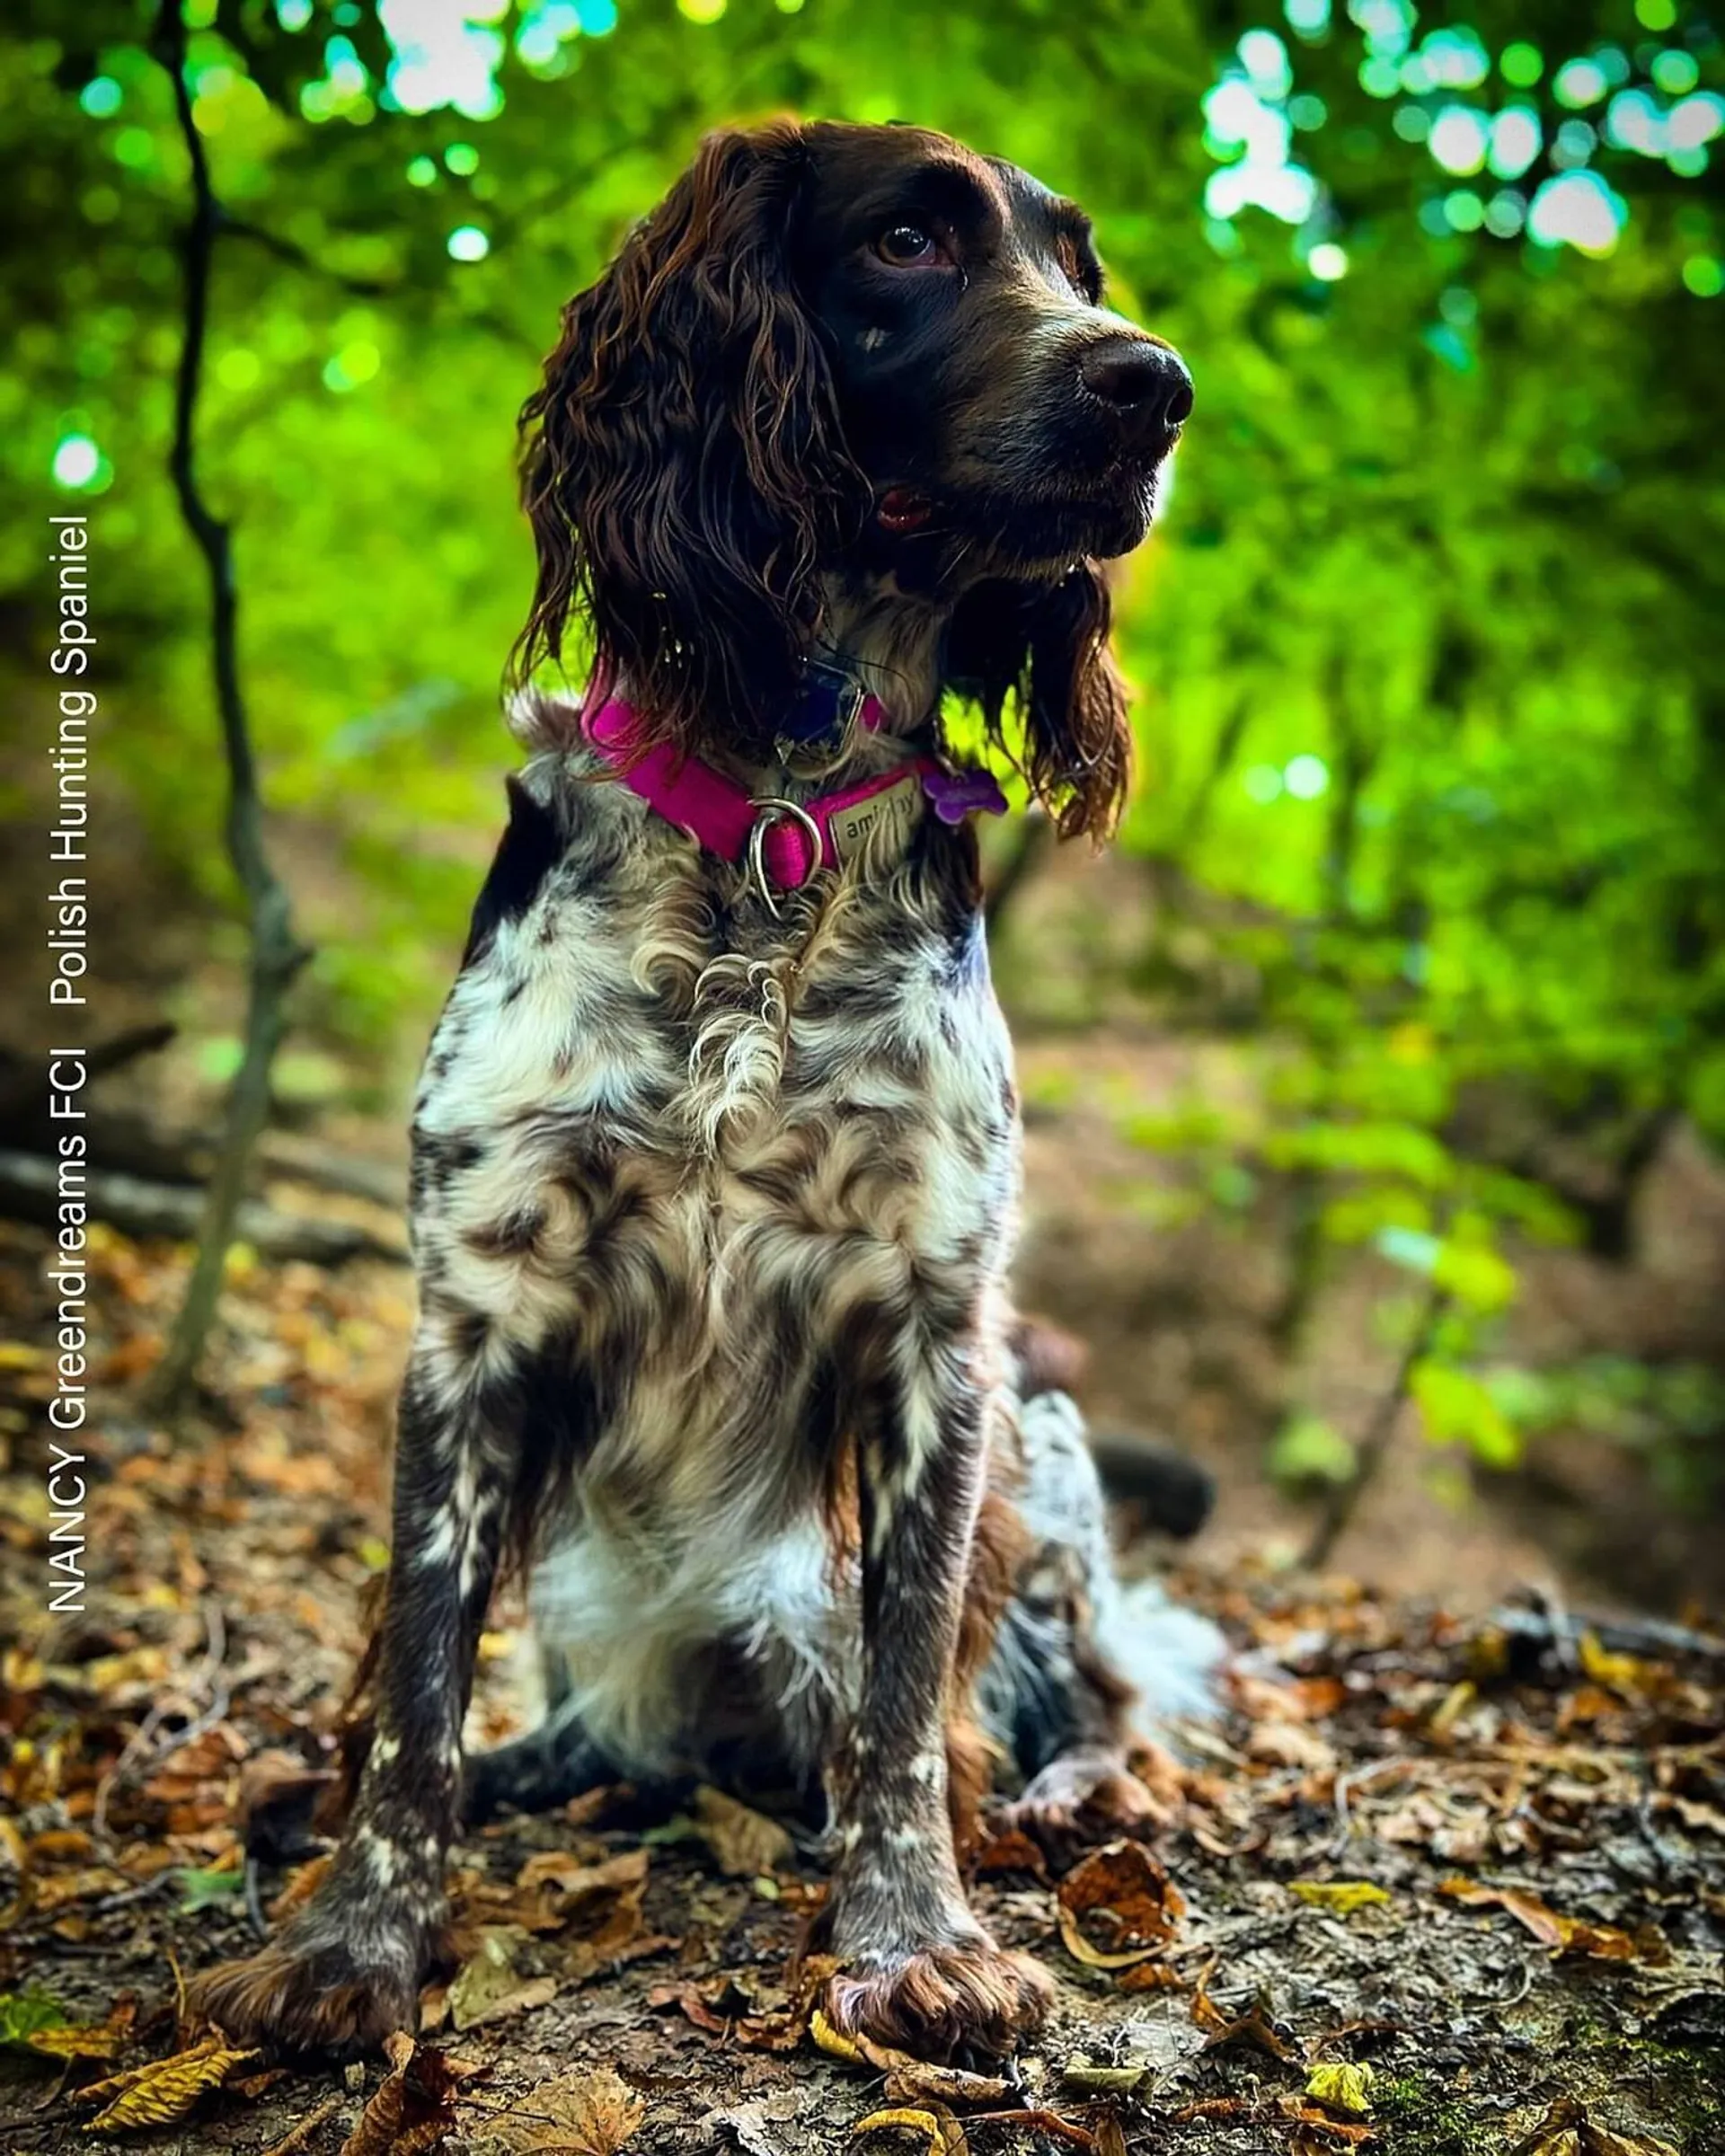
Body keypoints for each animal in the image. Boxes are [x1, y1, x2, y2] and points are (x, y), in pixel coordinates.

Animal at [191, 113, 1199, 2052]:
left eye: (1079, 268)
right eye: (907, 241)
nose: (1156, 385)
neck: (771, 826)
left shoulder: (941, 1330)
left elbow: (904, 1704)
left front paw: (917, 1938)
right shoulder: (475, 1310)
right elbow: (417, 1691)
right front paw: (354, 1942)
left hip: (1047, 1447)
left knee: (1089, 1691)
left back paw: (1065, 1798)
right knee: (602, 1729)